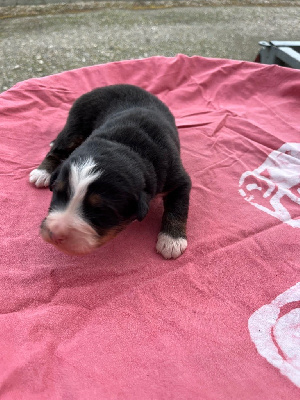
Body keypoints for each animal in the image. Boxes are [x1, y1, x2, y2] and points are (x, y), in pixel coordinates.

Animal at [29, 84, 191, 260]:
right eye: (58, 192)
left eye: (100, 210)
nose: (55, 233)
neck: (126, 145)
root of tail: (106, 86)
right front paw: (172, 241)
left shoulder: (178, 178)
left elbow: (178, 207)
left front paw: (171, 240)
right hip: (76, 124)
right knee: (59, 147)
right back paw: (42, 172)